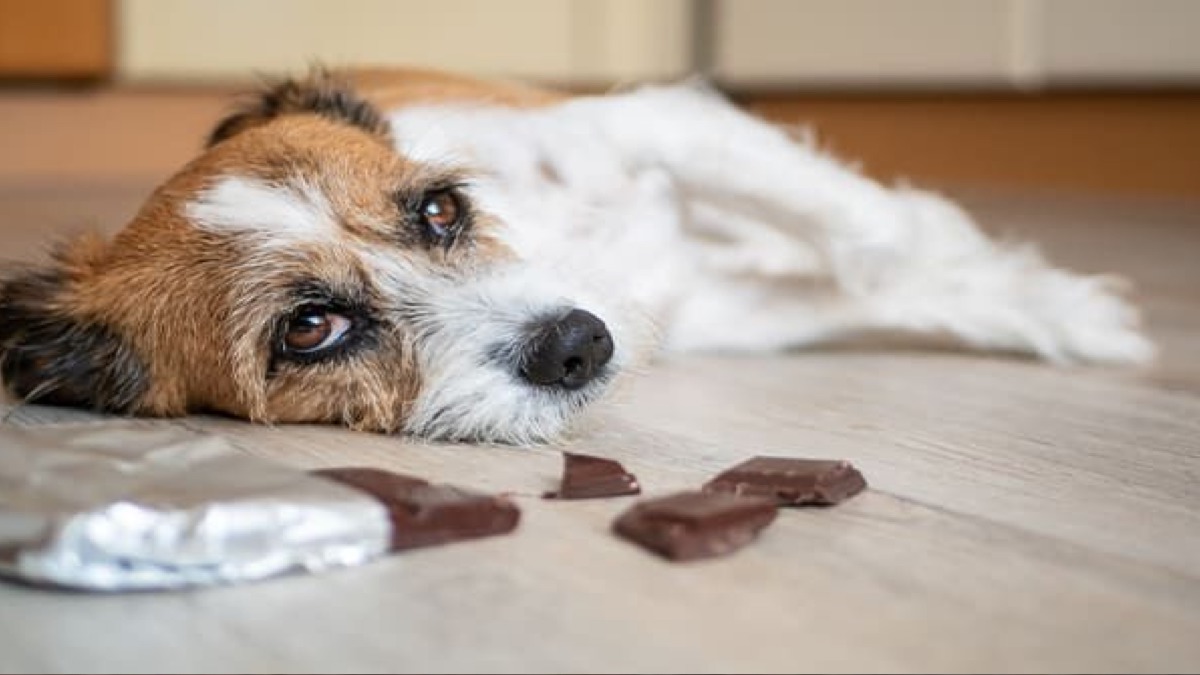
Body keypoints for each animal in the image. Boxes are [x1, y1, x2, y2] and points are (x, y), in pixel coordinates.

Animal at [0, 66, 1152, 441]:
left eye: (440, 211)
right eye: (311, 328)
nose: (577, 344)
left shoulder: (661, 126)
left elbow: (874, 236)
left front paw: (1074, 314)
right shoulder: (724, 313)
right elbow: (876, 277)